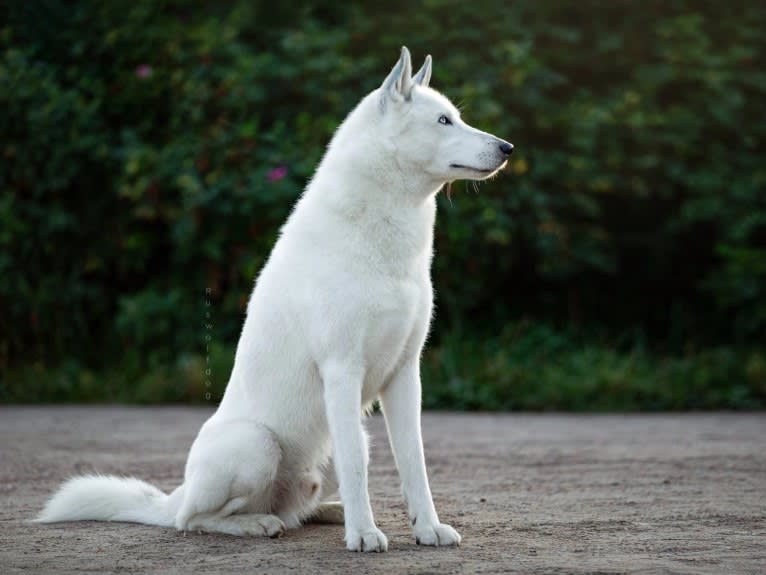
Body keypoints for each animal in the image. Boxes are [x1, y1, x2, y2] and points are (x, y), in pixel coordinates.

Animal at [37, 46, 516, 552]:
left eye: (456, 117)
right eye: (443, 121)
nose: (508, 148)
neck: (383, 240)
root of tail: (173, 497)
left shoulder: (405, 375)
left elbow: (413, 463)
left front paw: (426, 529)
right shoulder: (342, 370)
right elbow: (358, 466)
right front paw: (364, 535)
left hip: (323, 456)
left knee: (299, 505)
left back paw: (327, 512)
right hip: (256, 445)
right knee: (198, 519)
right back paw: (260, 524)